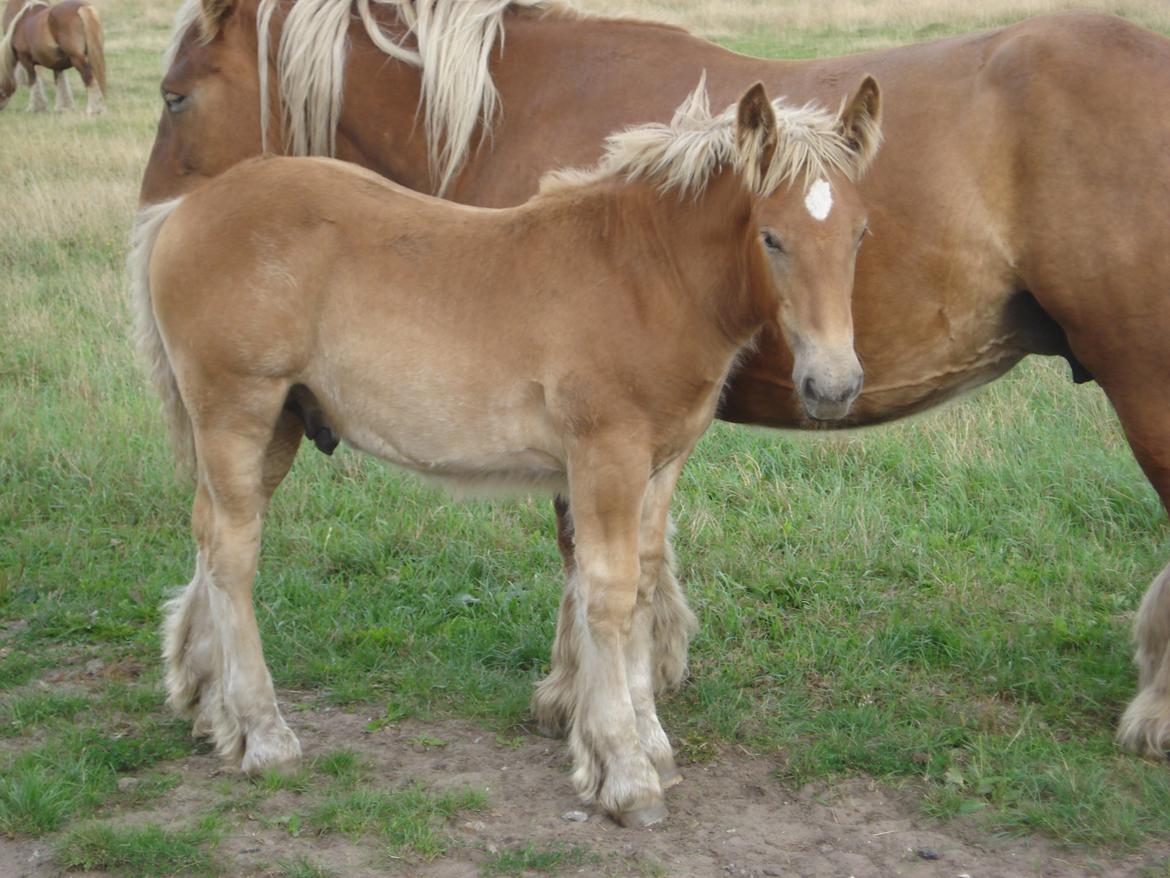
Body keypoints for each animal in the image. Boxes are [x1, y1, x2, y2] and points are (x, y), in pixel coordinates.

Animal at [130, 79, 879, 828]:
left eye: (860, 234)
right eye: (771, 236)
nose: (833, 385)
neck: (646, 275)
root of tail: (185, 209)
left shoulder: (661, 464)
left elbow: (642, 585)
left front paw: (651, 744)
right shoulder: (606, 456)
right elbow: (608, 596)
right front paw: (625, 771)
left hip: (281, 423)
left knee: (211, 535)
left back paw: (212, 711)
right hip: (237, 413)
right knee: (234, 555)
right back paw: (264, 736)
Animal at [139, 0, 1170, 758]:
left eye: (175, 96)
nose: (149, 225)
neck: (514, 103)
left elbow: (598, 564)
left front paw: (584, 705)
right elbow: (614, 566)